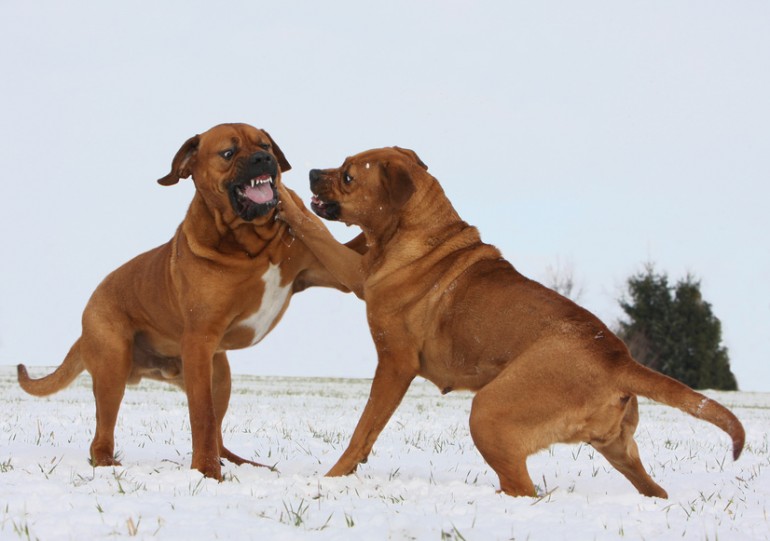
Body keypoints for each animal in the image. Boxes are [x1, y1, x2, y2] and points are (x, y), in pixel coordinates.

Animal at [18, 123, 364, 480]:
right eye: (228, 152)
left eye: (266, 145)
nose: (264, 159)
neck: (250, 243)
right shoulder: (200, 340)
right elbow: (202, 415)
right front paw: (206, 472)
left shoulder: (335, 270)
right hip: (114, 368)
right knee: (102, 436)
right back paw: (108, 463)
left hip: (220, 373)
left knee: (219, 436)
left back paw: (242, 462)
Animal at [274, 147, 736, 498]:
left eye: (348, 176)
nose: (312, 173)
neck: (414, 231)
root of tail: (619, 360)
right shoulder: (351, 270)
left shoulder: (391, 355)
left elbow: (363, 428)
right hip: (617, 447)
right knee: (652, 489)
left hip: (490, 412)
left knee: (525, 490)